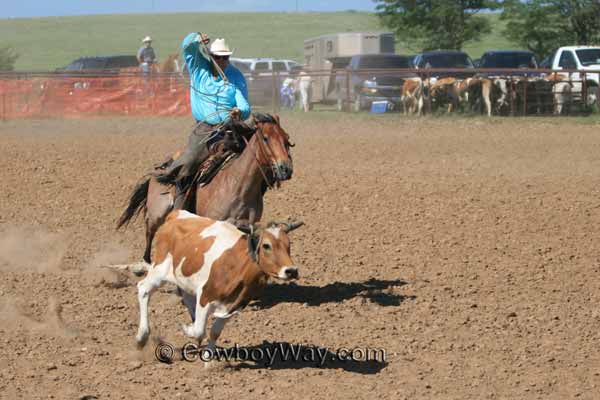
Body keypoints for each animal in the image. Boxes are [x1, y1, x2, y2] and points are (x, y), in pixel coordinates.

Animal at [115, 113, 292, 266]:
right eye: (266, 138)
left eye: (286, 139)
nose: (286, 169)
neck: (238, 185)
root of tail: (163, 168)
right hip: (157, 213)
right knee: (149, 232)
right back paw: (146, 262)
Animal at [137, 211, 304, 358]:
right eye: (266, 245)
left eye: (288, 244)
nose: (291, 271)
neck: (236, 265)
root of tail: (175, 215)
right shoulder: (205, 297)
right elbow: (199, 330)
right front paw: (187, 329)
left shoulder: (234, 306)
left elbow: (215, 332)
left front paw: (208, 360)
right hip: (159, 270)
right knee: (143, 288)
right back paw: (142, 337)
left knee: (186, 296)